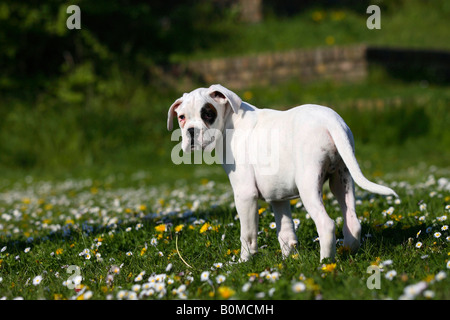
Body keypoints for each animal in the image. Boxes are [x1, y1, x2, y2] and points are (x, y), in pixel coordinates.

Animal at [169, 84, 398, 262]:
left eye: (207, 114)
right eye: (181, 117)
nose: (191, 131)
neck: (229, 121)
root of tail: (331, 120)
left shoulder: (245, 194)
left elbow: (248, 234)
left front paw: (244, 262)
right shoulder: (277, 196)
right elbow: (286, 231)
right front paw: (288, 261)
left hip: (308, 185)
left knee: (326, 224)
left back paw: (325, 264)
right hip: (342, 179)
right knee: (353, 222)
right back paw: (347, 253)